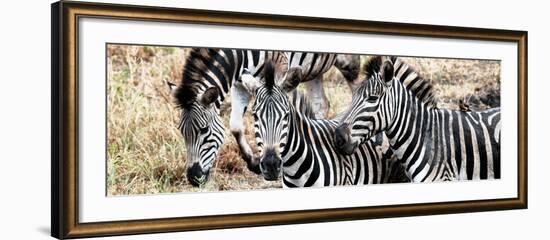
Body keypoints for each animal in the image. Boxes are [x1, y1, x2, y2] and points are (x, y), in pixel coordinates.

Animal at [168, 47, 362, 186]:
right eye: (181, 132)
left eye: (204, 130)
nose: (193, 178)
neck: (239, 57)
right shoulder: (240, 84)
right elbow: (235, 126)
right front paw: (253, 162)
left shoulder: (281, 70)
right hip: (314, 70)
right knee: (321, 103)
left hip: (347, 62)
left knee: (357, 89)